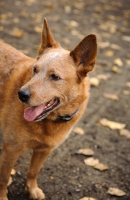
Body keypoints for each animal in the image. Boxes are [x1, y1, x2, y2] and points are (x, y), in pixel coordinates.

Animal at [0, 18, 96, 199]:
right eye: (34, 69)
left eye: (55, 77)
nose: (21, 94)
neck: (49, 123)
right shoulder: (11, 150)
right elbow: (3, 178)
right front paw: (2, 196)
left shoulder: (44, 150)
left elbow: (33, 172)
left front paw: (32, 189)